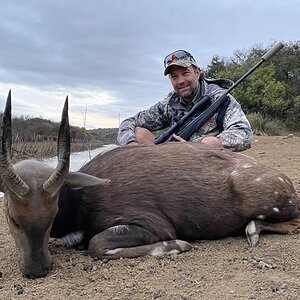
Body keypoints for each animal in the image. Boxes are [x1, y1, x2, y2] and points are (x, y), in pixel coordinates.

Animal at [0, 92, 300, 278]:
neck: (84, 201)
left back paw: (252, 231)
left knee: (291, 222)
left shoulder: (153, 224)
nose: (36, 269)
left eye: (52, 216)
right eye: (12, 218)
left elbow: (96, 245)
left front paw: (179, 245)